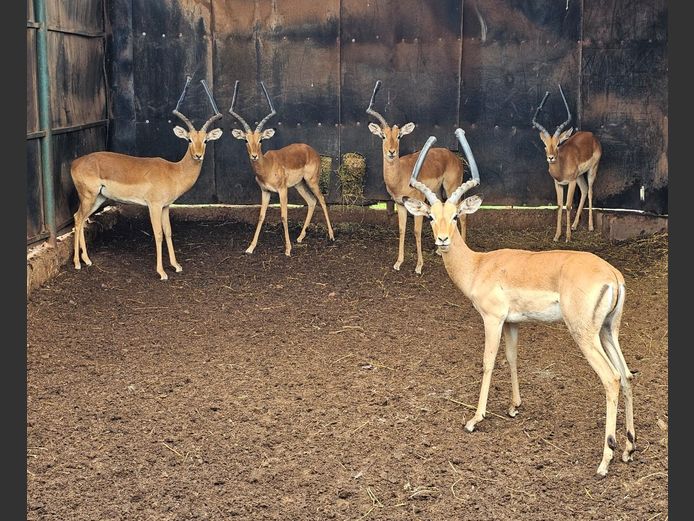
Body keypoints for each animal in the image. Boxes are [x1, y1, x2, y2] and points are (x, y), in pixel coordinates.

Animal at [70, 76, 223, 280]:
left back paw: (86, 260)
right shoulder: (154, 205)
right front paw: (162, 272)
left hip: (98, 199)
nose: (198, 155)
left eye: (205, 140)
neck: (174, 171)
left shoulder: (166, 206)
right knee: (78, 219)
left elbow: (168, 232)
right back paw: (77, 263)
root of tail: (75, 163)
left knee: (79, 218)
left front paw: (176, 266)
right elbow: (158, 234)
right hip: (88, 197)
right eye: (189, 139)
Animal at [228, 81, 335, 256]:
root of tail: (311, 150)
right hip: (299, 184)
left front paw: (288, 249)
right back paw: (300, 237)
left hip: (311, 181)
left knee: (322, 200)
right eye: (245, 140)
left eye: (261, 140)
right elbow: (261, 216)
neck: (267, 167)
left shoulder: (282, 190)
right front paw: (250, 248)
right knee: (312, 201)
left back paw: (331, 236)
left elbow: (284, 216)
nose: (254, 156)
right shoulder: (265, 191)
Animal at [366, 80, 466, 274]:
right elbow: (402, 229)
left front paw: (419, 266)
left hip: (452, 188)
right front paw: (398, 263)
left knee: (463, 214)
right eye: (383, 136)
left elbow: (417, 231)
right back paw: (439, 251)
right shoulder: (400, 204)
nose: (391, 152)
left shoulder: (419, 204)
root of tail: (454, 157)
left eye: (399, 136)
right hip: (439, 192)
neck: (400, 176)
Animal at [402, 129, 635, 478]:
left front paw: (475, 419)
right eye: (431, 216)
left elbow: (488, 361)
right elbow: (512, 358)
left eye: (455, 216)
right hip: (609, 330)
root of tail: (612, 274)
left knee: (612, 378)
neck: (479, 265)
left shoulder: (493, 319)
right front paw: (514, 407)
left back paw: (605, 461)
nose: (442, 240)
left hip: (585, 334)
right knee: (628, 374)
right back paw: (629, 449)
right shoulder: (513, 322)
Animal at [532, 85, 602, 242]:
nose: (551, 158)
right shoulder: (558, 183)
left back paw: (590, 227)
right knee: (584, 190)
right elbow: (559, 206)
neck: (562, 167)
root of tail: (592, 136)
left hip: (591, 171)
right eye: (545, 145)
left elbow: (568, 205)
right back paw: (575, 225)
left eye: (558, 144)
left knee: (590, 191)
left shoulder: (570, 182)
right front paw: (557, 236)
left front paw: (568, 237)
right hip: (579, 176)